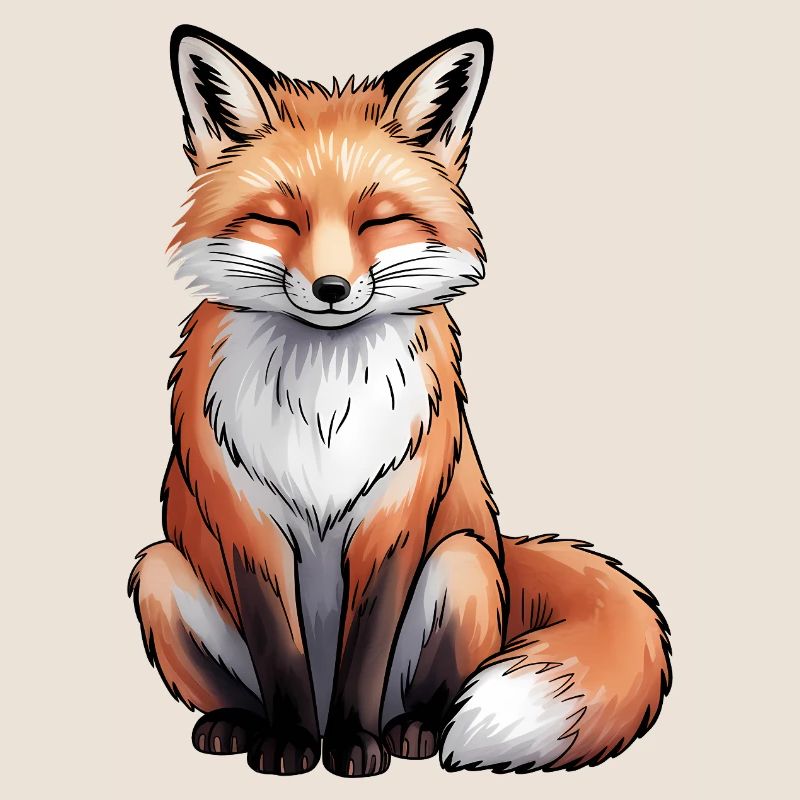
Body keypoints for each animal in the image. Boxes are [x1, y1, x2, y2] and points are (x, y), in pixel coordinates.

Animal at [128, 25, 672, 778]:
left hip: (463, 563)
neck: (324, 410)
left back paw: (409, 733)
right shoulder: (248, 525)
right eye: (277, 219)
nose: (330, 288)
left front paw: (353, 747)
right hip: (158, 569)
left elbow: (366, 650)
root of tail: (504, 547)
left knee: (431, 696)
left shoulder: (393, 518)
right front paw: (291, 746)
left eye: (379, 221)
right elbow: (279, 649)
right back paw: (238, 725)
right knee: (238, 687)